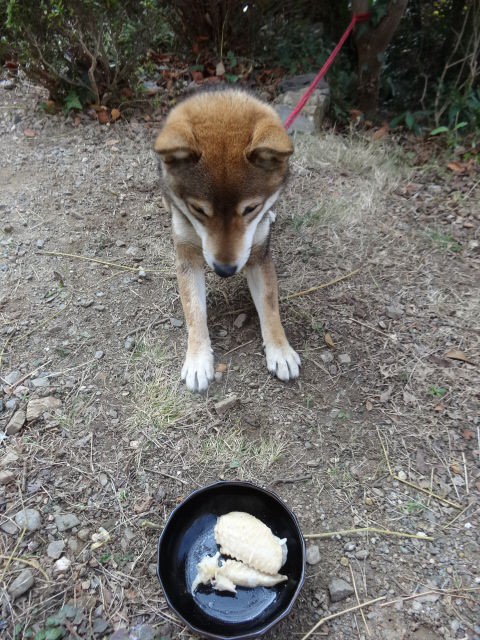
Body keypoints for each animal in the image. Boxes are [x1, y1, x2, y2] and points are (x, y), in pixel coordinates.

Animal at [156, 88, 300, 392]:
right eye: (198, 210)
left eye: (250, 209)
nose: (224, 270)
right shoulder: (187, 256)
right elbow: (194, 310)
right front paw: (198, 359)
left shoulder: (258, 255)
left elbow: (270, 306)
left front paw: (280, 350)